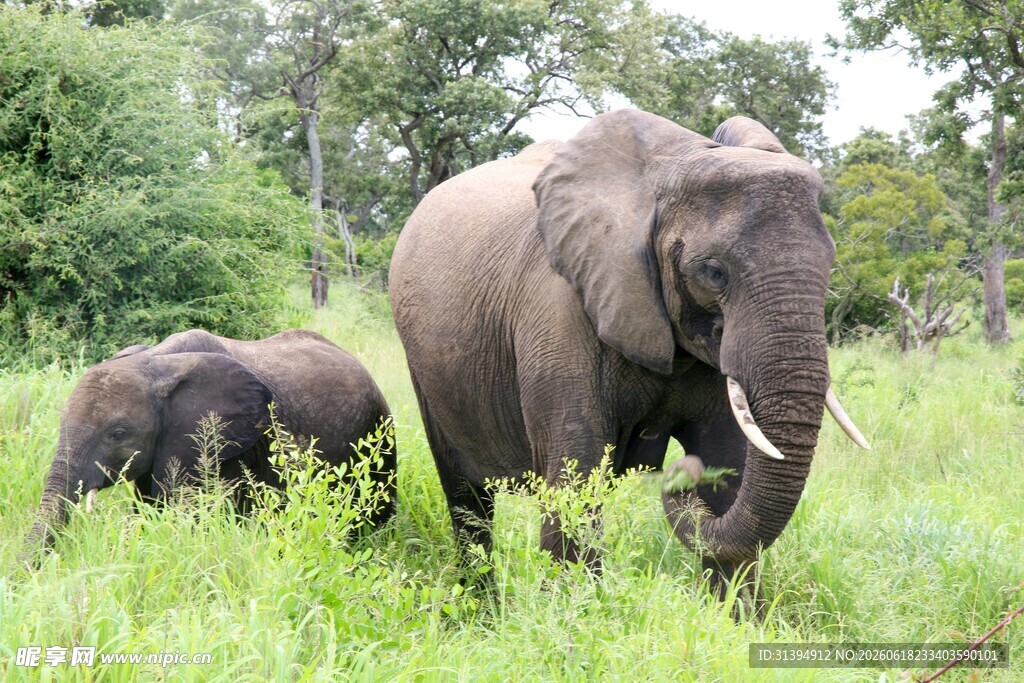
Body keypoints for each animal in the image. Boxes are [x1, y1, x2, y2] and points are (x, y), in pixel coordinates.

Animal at [389, 109, 869, 594]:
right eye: (714, 272)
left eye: (830, 266)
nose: (682, 472)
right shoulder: (559, 311)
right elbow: (577, 474)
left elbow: (728, 467)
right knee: (467, 497)